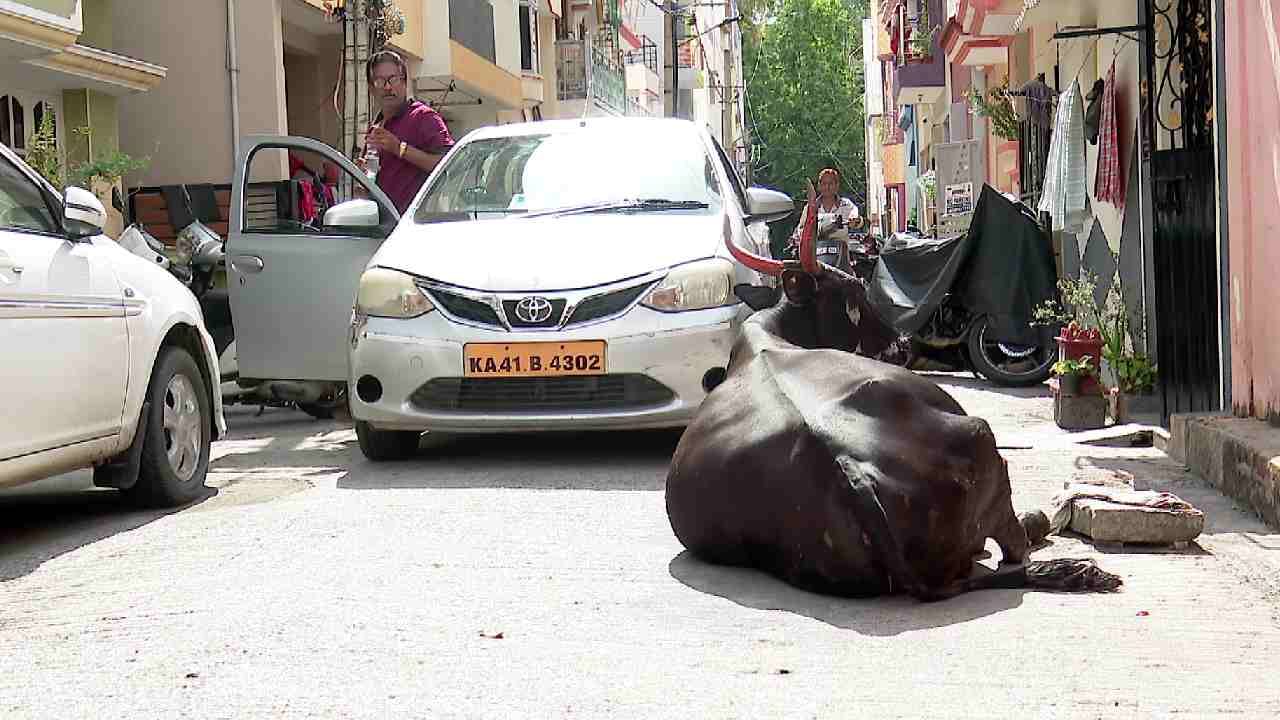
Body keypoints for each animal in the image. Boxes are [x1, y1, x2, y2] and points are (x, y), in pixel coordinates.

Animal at [670, 184, 1121, 599]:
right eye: (854, 289)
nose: (903, 344)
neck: (769, 333)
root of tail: (850, 470)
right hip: (982, 439)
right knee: (1015, 548)